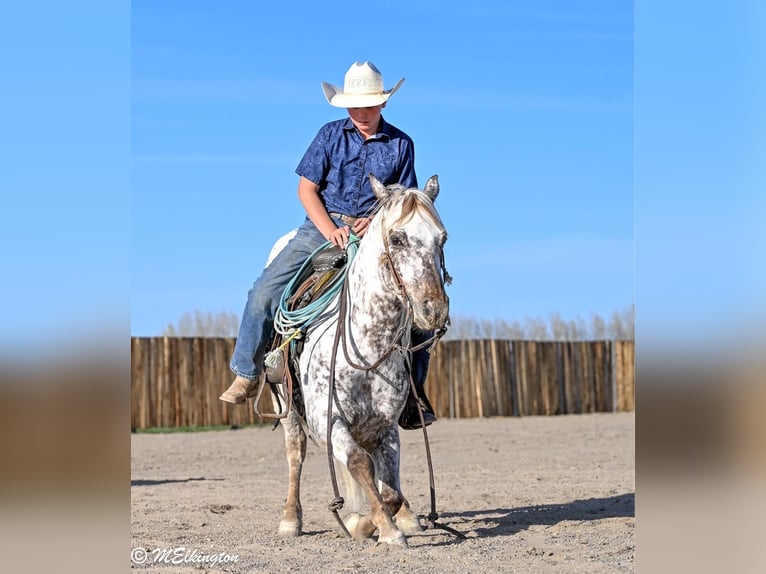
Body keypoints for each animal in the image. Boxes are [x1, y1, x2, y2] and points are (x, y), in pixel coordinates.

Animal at [275, 174, 450, 546]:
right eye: (397, 238)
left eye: (442, 237)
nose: (433, 309)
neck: (366, 346)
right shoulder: (328, 421)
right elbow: (358, 463)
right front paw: (378, 528)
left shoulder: (385, 424)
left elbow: (391, 488)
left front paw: (375, 521)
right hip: (287, 408)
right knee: (296, 452)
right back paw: (290, 519)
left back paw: (407, 517)